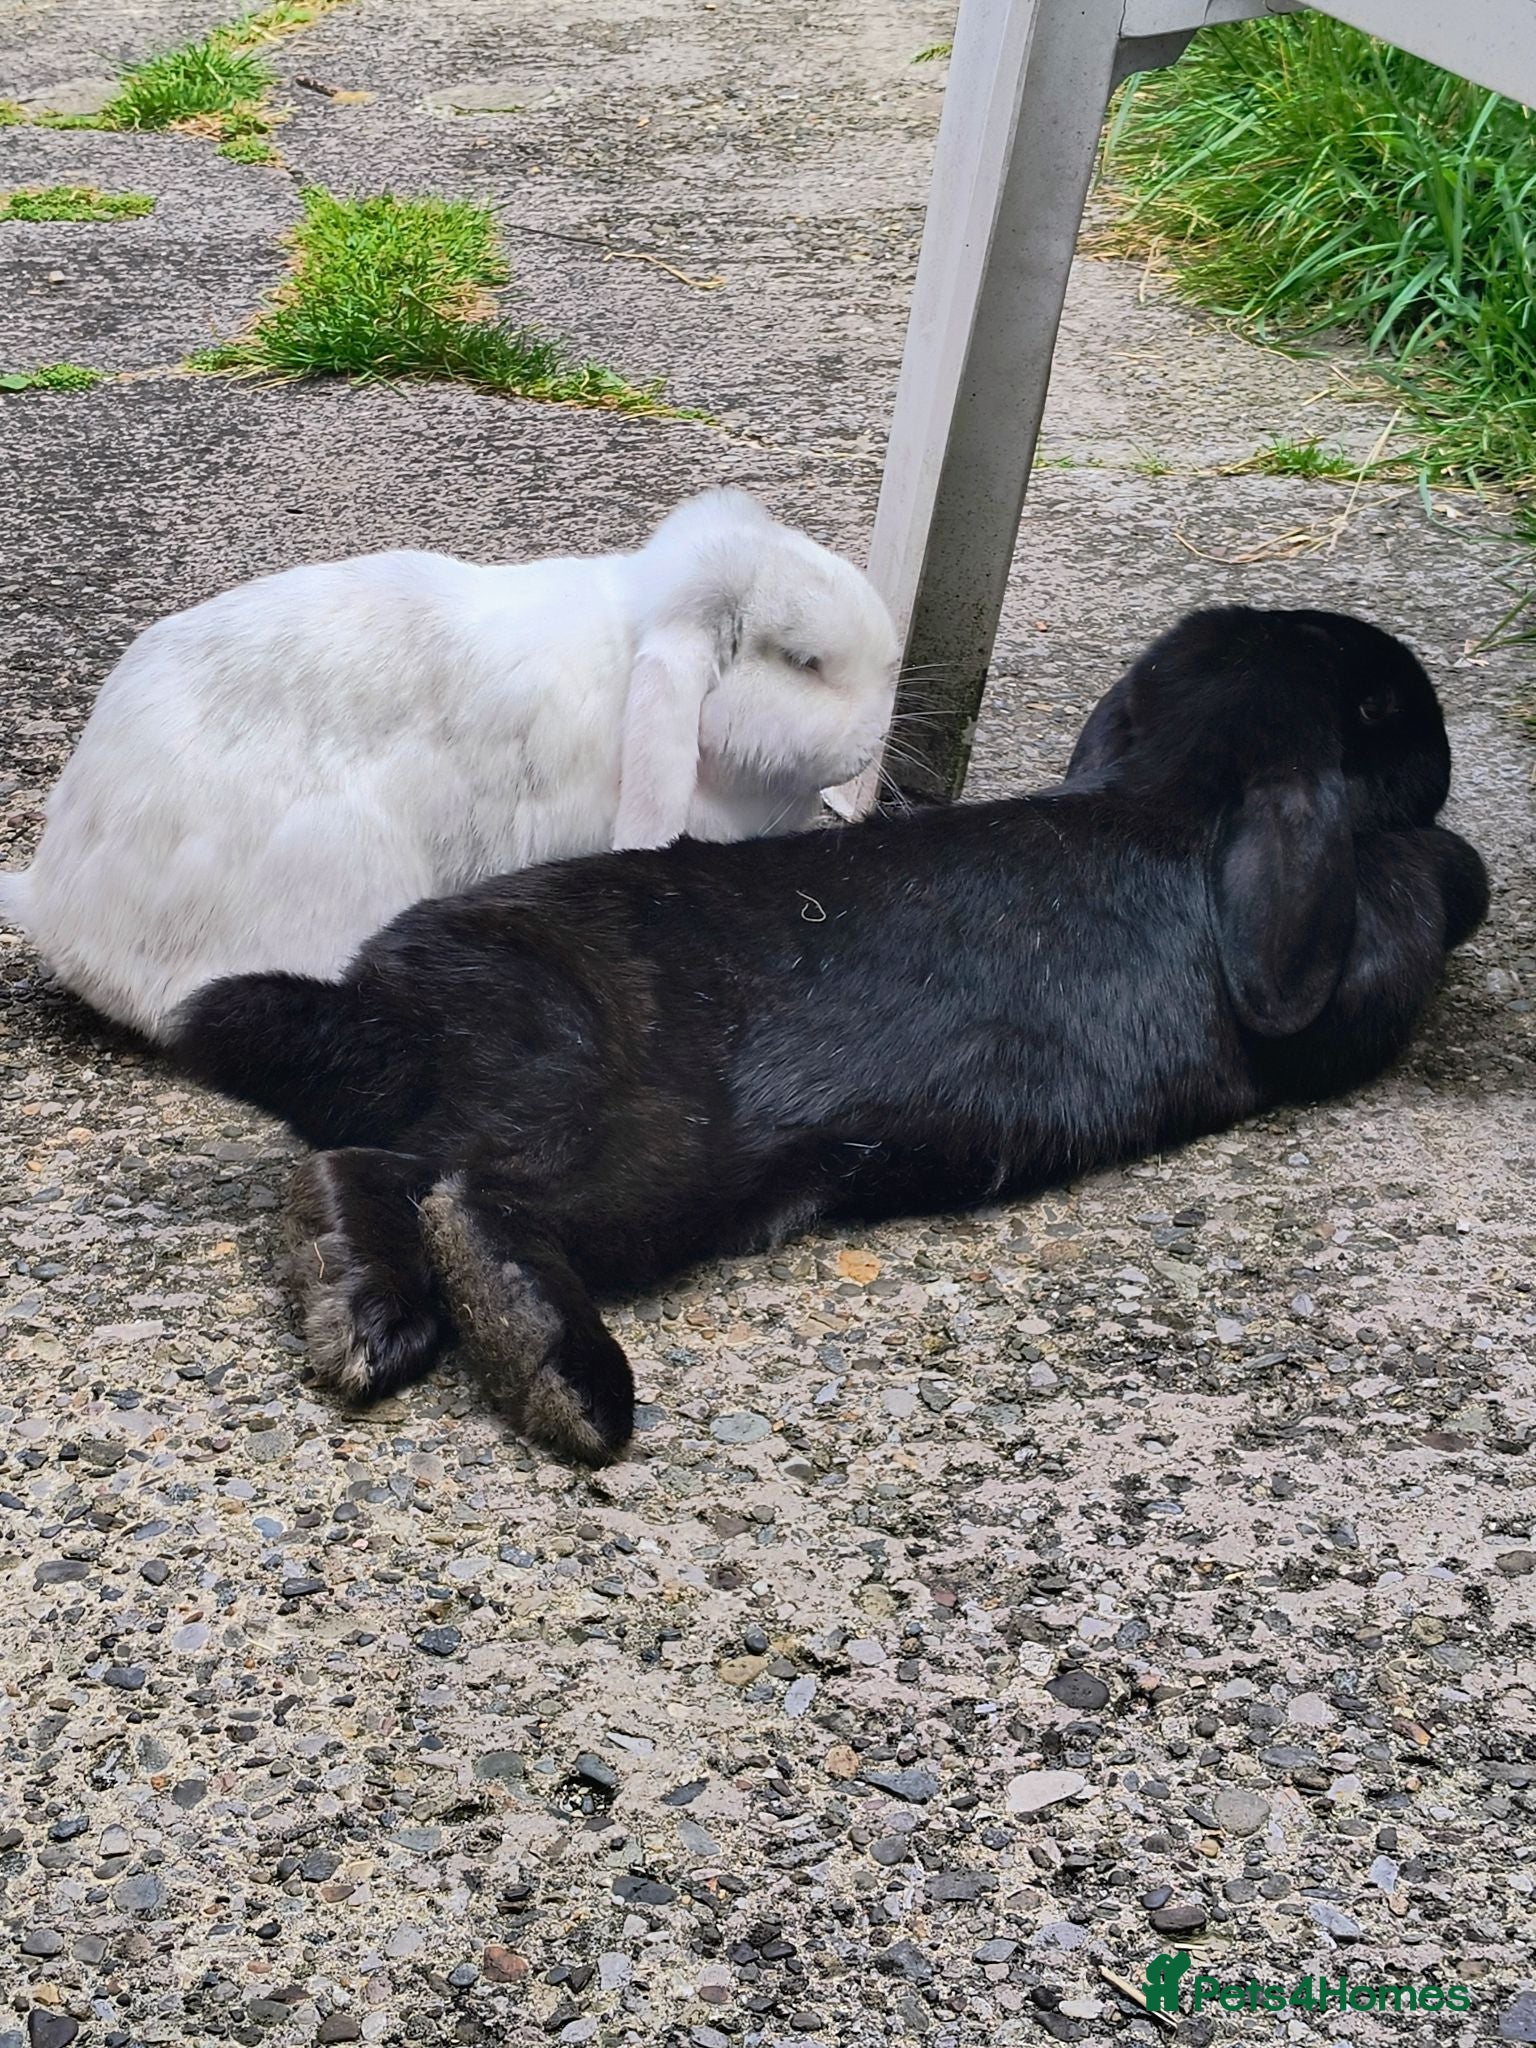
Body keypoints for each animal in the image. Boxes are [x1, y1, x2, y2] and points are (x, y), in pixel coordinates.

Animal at [172, 606, 1489, 1466]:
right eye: (1388, 712)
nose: (1443, 736)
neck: (1172, 786)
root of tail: (390, 1005)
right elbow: (1410, 905)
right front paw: (1464, 869)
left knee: (372, 1163)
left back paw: (360, 1305)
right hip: (652, 1144)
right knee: (472, 1195)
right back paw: (561, 1373)